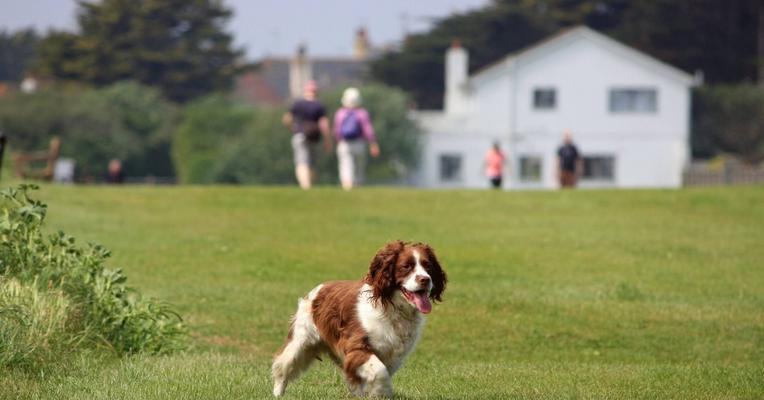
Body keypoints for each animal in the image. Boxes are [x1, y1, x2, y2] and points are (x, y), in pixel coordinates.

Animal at [272, 241, 444, 396]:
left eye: (428, 266)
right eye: (406, 266)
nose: (425, 279)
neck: (393, 309)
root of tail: (319, 288)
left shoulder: (392, 356)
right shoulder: (357, 348)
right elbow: (380, 372)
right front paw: (381, 393)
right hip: (300, 342)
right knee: (282, 367)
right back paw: (277, 393)